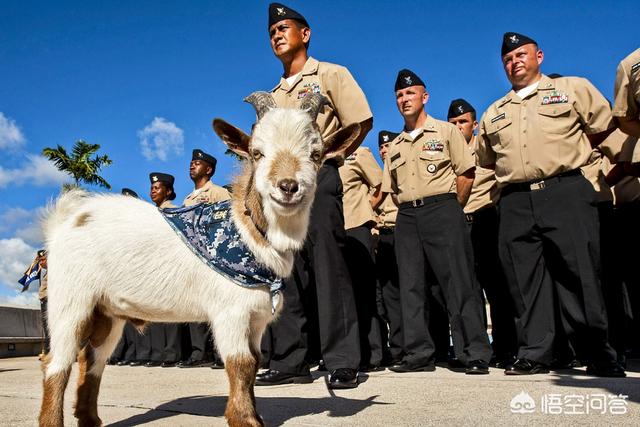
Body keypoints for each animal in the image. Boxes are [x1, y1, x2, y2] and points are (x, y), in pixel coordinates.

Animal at [38, 93, 360, 427]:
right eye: (257, 153)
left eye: (316, 153)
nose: (287, 186)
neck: (246, 232)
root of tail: (67, 221)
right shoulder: (230, 312)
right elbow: (241, 363)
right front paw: (245, 419)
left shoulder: (256, 318)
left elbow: (255, 362)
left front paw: (252, 413)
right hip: (70, 301)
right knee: (57, 361)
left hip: (107, 311)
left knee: (93, 360)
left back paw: (90, 419)